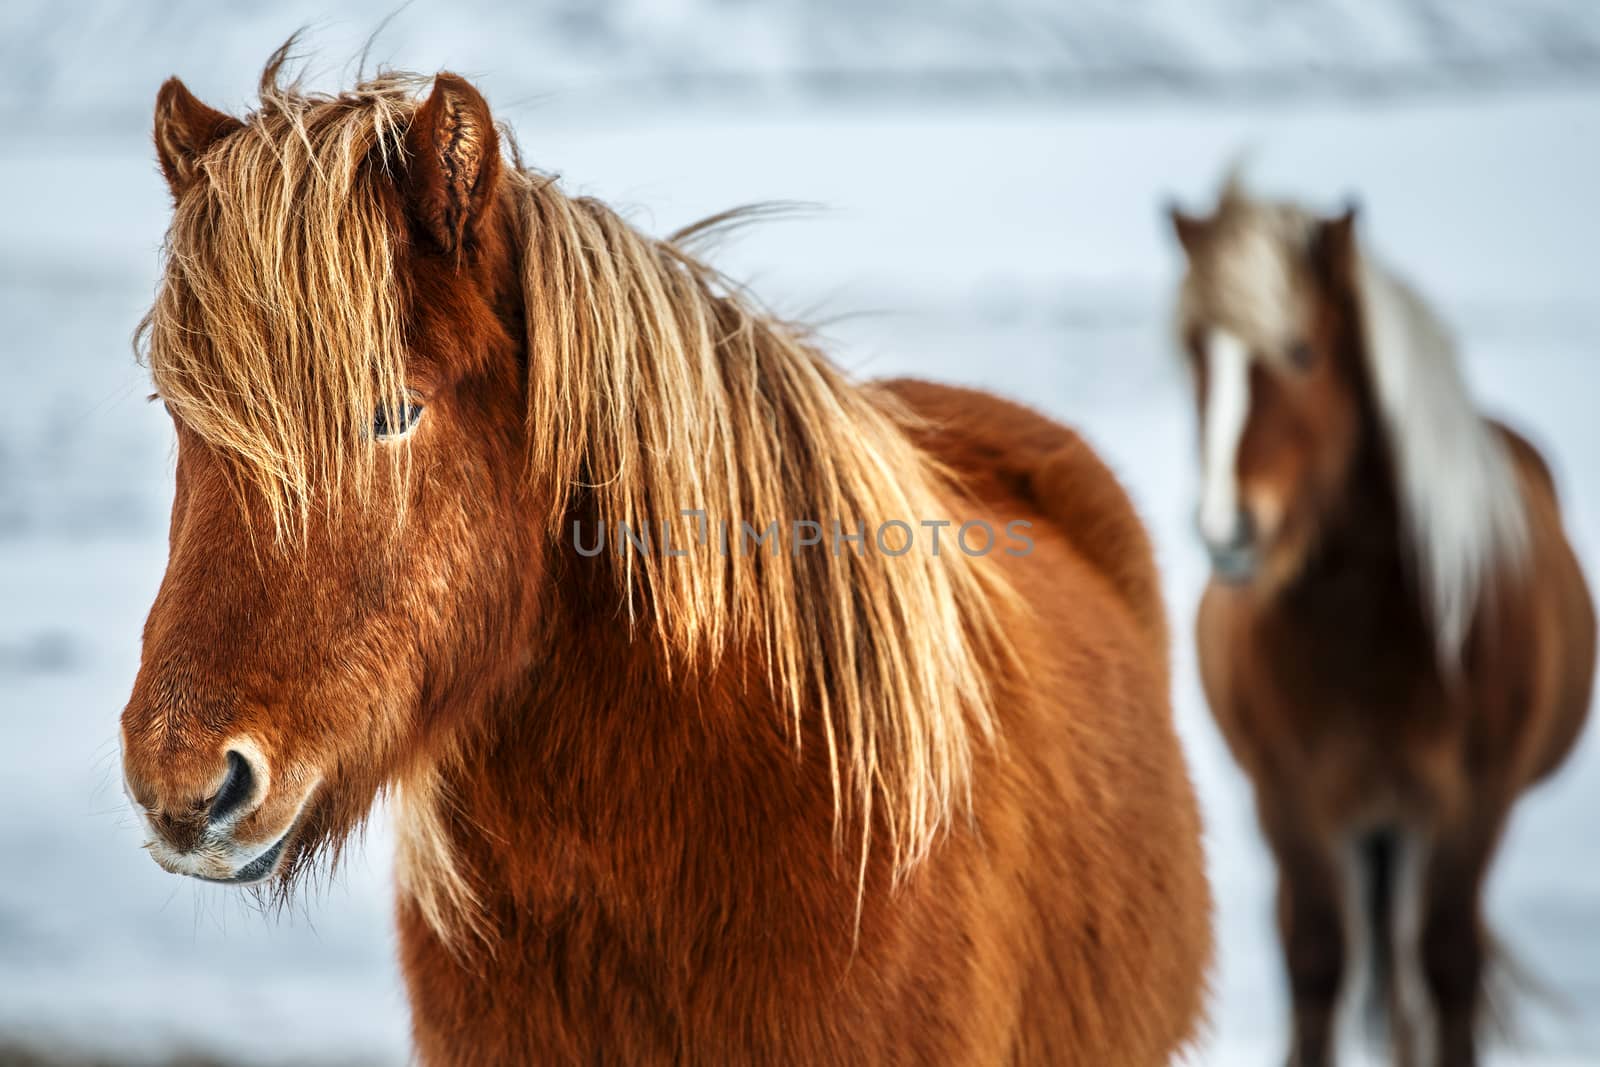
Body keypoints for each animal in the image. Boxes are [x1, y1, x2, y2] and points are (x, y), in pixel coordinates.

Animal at [1171, 179, 1593, 1062]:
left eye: (1302, 351)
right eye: (1194, 350)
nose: (1229, 531)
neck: (1363, 633)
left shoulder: (1475, 799)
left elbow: (1449, 960)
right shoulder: (1289, 795)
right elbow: (1317, 958)